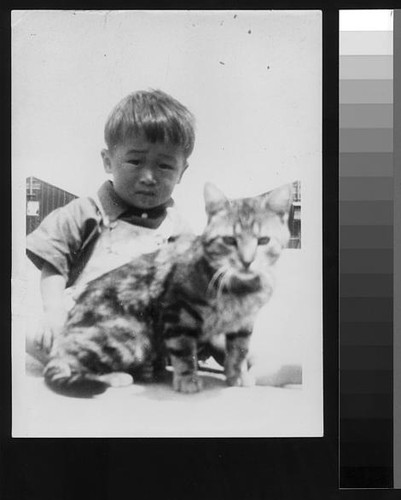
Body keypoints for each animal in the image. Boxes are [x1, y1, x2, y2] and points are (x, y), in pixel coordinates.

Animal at [43, 182, 292, 396]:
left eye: (263, 240)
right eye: (229, 240)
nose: (247, 262)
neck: (238, 287)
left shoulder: (243, 323)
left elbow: (239, 351)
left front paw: (237, 375)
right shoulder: (177, 311)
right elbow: (184, 350)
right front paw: (187, 378)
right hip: (129, 337)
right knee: (69, 364)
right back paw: (115, 377)